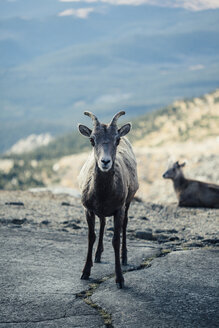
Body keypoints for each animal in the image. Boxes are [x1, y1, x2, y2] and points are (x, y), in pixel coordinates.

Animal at [78, 111, 138, 288]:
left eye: (116, 140)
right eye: (92, 139)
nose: (105, 162)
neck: (103, 194)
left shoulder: (119, 210)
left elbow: (116, 240)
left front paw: (120, 279)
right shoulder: (88, 210)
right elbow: (91, 237)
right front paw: (86, 272)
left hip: (127, 204)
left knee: (125, 225)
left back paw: (124, 258)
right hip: (102, 213)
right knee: (103, 224)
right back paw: (97, 256)